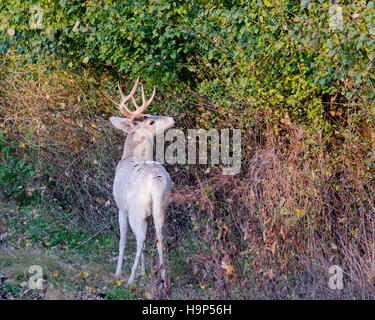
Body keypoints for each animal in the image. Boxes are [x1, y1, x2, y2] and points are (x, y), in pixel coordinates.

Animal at [109, 78, 176, 288]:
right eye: (151, 120)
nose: (172, 118)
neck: (129, 157)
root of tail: (156, 180)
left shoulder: (121, 207)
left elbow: (122, 239)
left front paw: (119, 273)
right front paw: (144, 273)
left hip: (136, 209)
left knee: (140, 239)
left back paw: (130, 279)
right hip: (161, 207)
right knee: (160, 238)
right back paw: (163, 278)